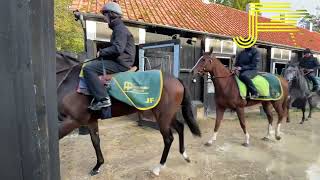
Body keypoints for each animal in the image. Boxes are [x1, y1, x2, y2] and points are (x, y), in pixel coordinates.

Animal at [55, 55, 200, 176]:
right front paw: (97, 166)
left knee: (168, 139)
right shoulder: (91, 121)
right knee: (180, 127)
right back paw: (184, 155)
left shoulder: (71, 121)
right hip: (168, 115)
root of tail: (176, 79)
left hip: (163, 117)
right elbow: (95, 142)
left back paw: (158, 167)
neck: (70, 81)